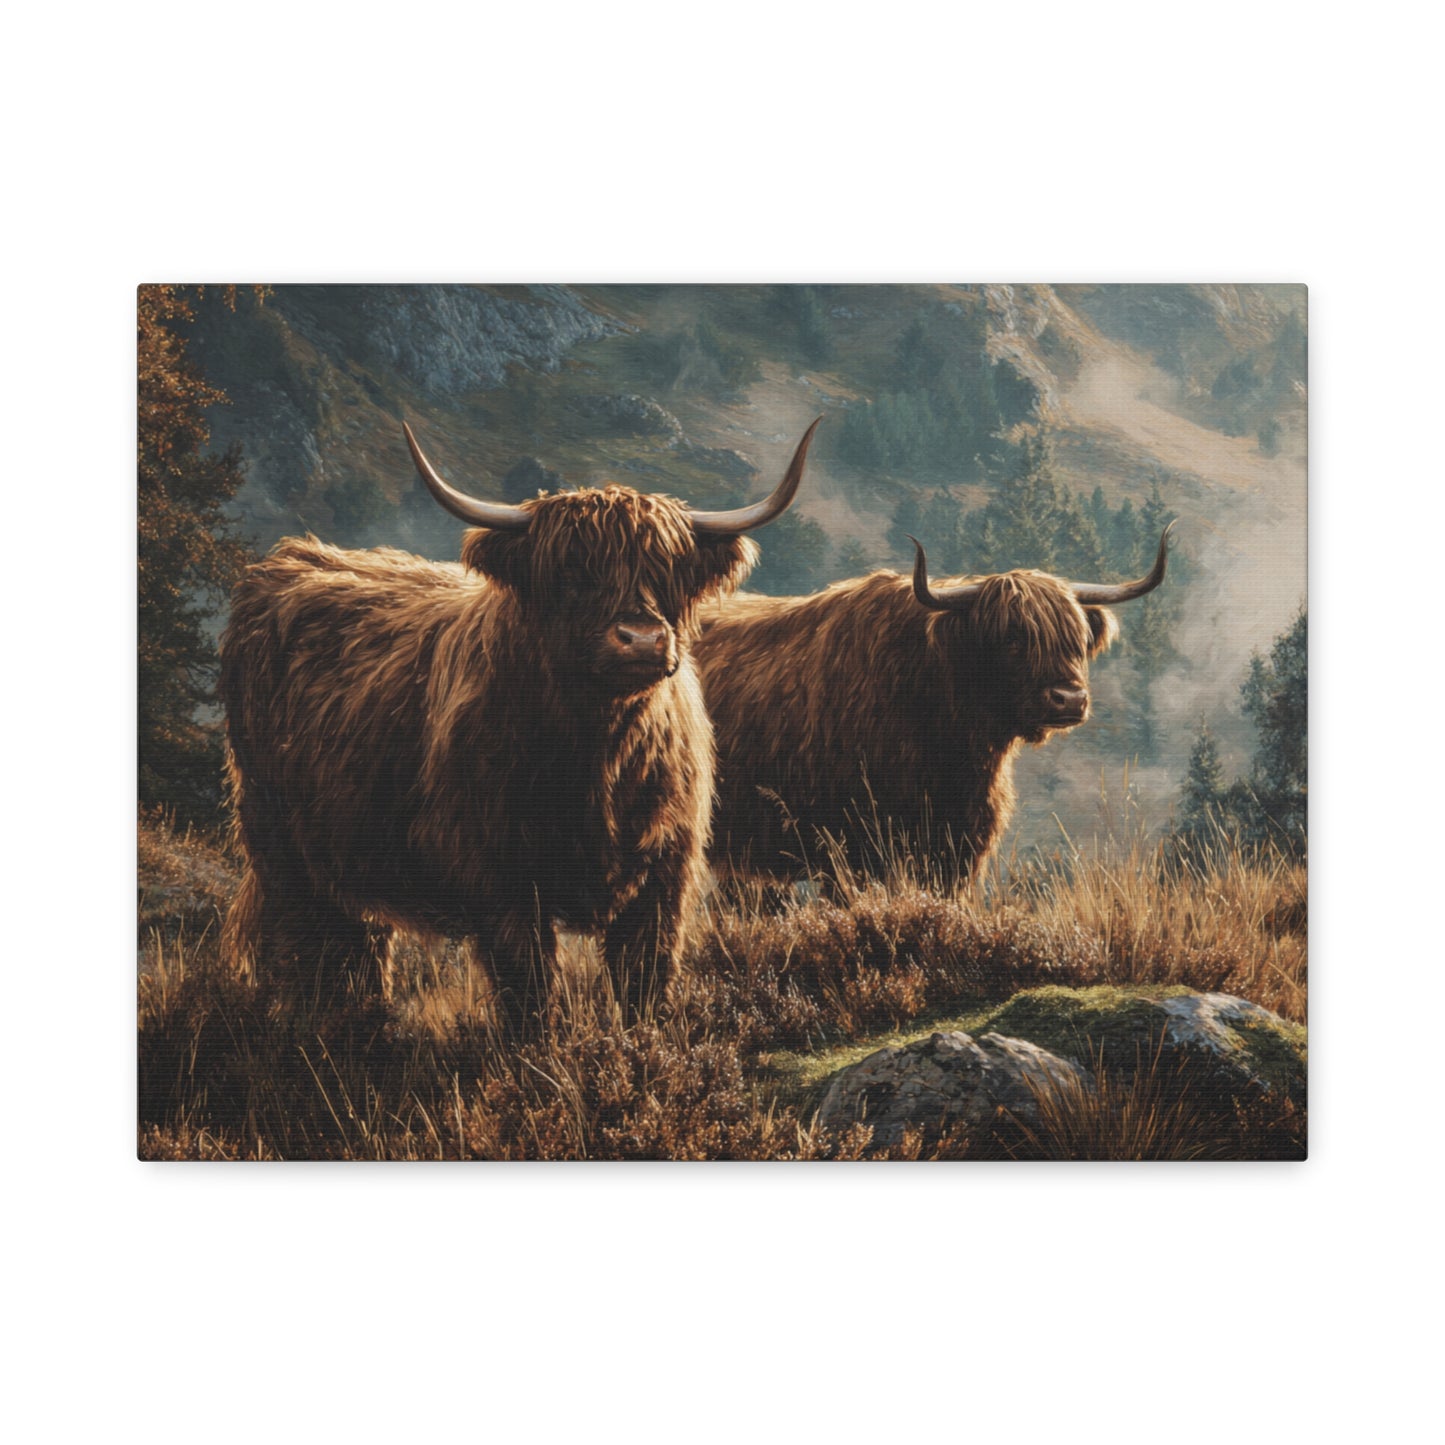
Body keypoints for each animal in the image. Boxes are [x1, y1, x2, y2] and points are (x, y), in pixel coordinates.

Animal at [219, 419, 820, 1033]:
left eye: (667, 570)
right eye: (572, 572)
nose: (642, 639)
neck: (598, 756)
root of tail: (295, 559)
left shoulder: (664, 871)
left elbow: (642, 977)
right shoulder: (499, 874)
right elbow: (528, 982)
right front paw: (540, 1049)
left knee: (357, 941)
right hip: (277, 840)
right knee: (304, 940)